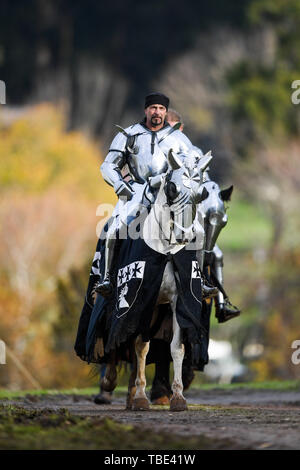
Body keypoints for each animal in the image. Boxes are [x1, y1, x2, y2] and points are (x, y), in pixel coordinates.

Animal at [98, 148, 211, 412]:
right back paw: (114, 385)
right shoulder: (140, 299)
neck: (165, 249)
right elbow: (140, 346)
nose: (185, 235)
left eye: (201, 193)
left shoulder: (177, 301)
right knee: (115, 336)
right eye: (172, 188)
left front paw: (178, 397)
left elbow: (176, 347)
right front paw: (140, 397)